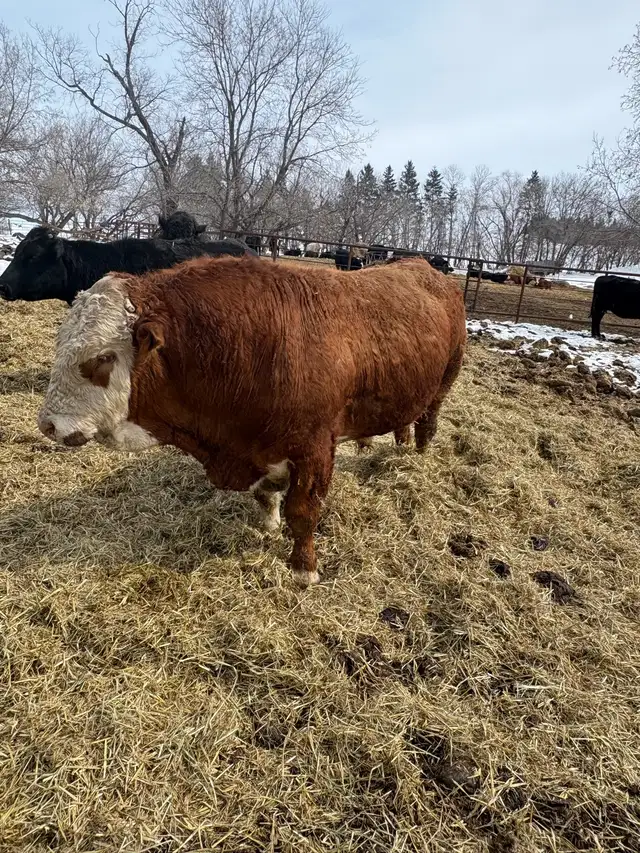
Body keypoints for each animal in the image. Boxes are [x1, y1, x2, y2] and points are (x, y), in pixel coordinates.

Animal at [38, 256, 466, 587]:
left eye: (103, 357)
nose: (48, 425)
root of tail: (427, 269)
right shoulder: (257, 446)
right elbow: (266, 494)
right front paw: (268, 525)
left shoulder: (314, 448)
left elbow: (303, 512)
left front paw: (303, 568)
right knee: (404, 422)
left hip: (444, 383)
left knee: (428, 423)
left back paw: (417, 458)